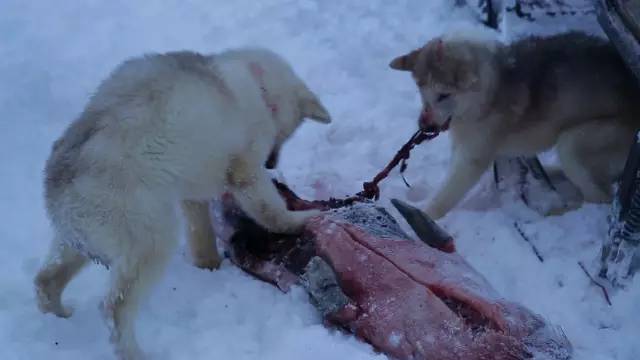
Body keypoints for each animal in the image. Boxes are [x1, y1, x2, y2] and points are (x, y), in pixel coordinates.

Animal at [33, 47, 330, 358]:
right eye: (285, 134)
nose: (271, 164)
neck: (253, 80)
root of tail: (60, 182)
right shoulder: (245, 171)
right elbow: (270, 211)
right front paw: (301, 220)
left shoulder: (193, 190)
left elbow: (201, 233)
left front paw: (209, 265)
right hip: (150, 240)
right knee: (114, 309)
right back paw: (135, 353)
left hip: (75, 242)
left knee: (45, 280)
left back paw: (59, 319)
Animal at [388, 30, 640, 219]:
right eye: (422, 92)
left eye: (444, 95)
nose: (424, 126)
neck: (489, 91)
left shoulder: (472, 158)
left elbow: (446, 195)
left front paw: (421, 215)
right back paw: (550, 171)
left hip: (575, 143)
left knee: (600, 198)